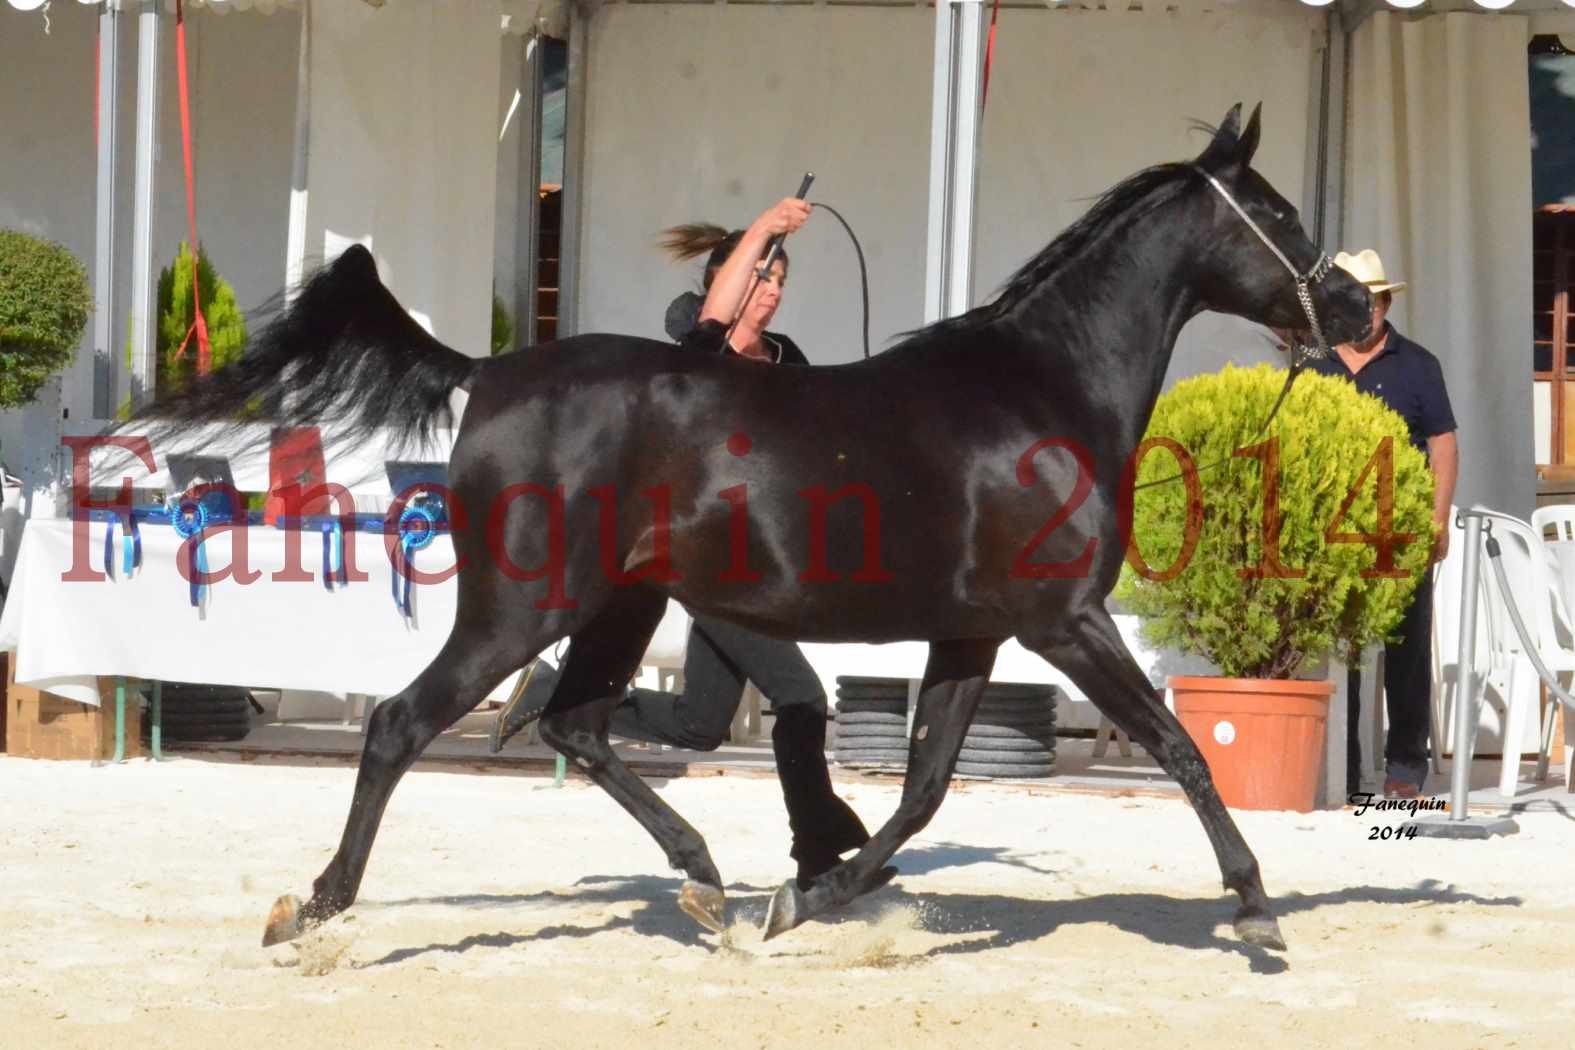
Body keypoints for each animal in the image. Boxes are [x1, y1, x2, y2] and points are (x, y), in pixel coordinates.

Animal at [138, 104, 1367, 950]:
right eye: (1280, 214)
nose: (1357, 306)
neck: (1040, 389)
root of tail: (488, 374)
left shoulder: (975, 633)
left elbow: (921, 792)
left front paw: (802, 896)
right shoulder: (1066, 621)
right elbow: (1180, 750)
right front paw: (1255, 907)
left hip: (621, 607)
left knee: (578, 724)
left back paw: (706, 881)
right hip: (520, 608)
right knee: (403, 723)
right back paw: (314, 908)